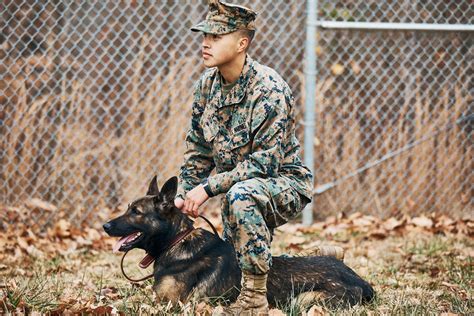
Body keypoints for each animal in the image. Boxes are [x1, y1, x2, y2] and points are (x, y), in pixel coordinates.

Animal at [103, 175, 374, 306]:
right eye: (128, 208)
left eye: (136, 212)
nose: (105, 226)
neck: (175, 241)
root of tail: (361, 281)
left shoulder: (167, 305)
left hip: (303, 300)